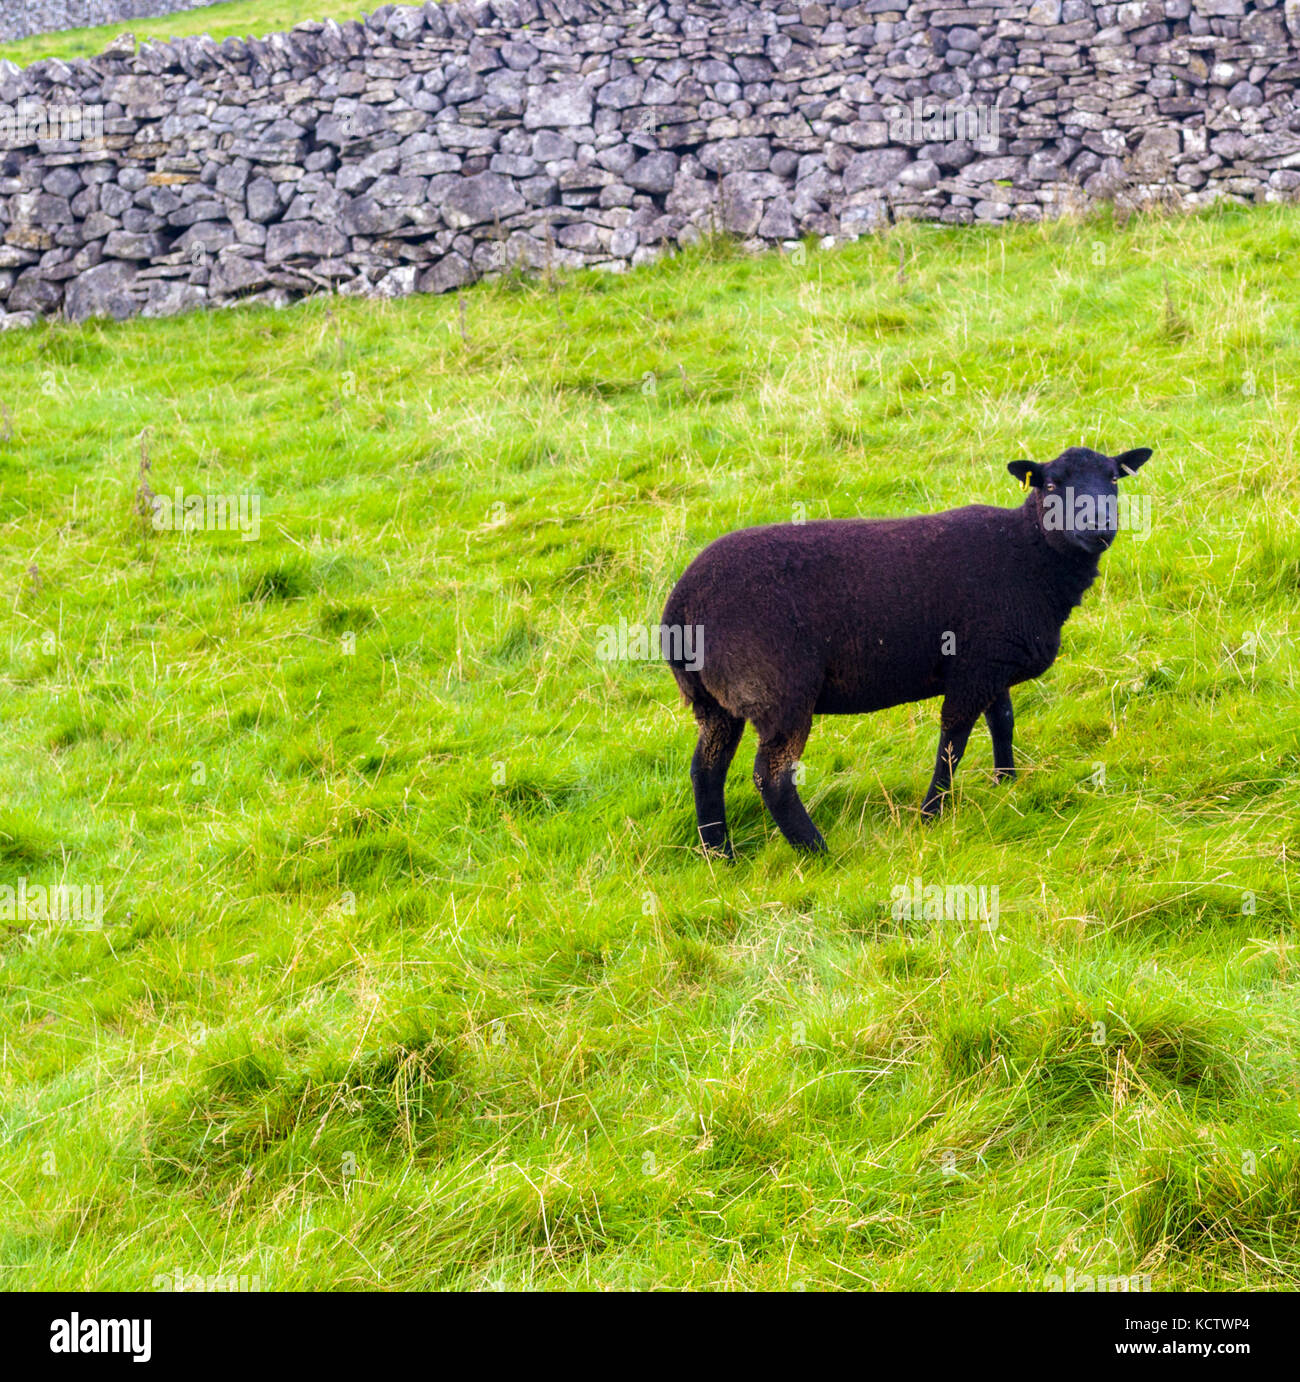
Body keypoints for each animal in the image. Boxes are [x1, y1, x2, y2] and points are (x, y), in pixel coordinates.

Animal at [665, 442, 1149, 851]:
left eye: (1113, 478)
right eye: (1051, 485)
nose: (1099, 526)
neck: (1028, 554)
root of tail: (681, 604)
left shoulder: (990, 660)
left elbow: (1003, 722)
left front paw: (1007, 783)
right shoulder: (973, 668)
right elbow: (953, 744)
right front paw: (931, 814)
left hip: (714, 701)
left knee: (705, 770)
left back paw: (719, 854)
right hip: (779, 691)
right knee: (772, 779)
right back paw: (818, 853)